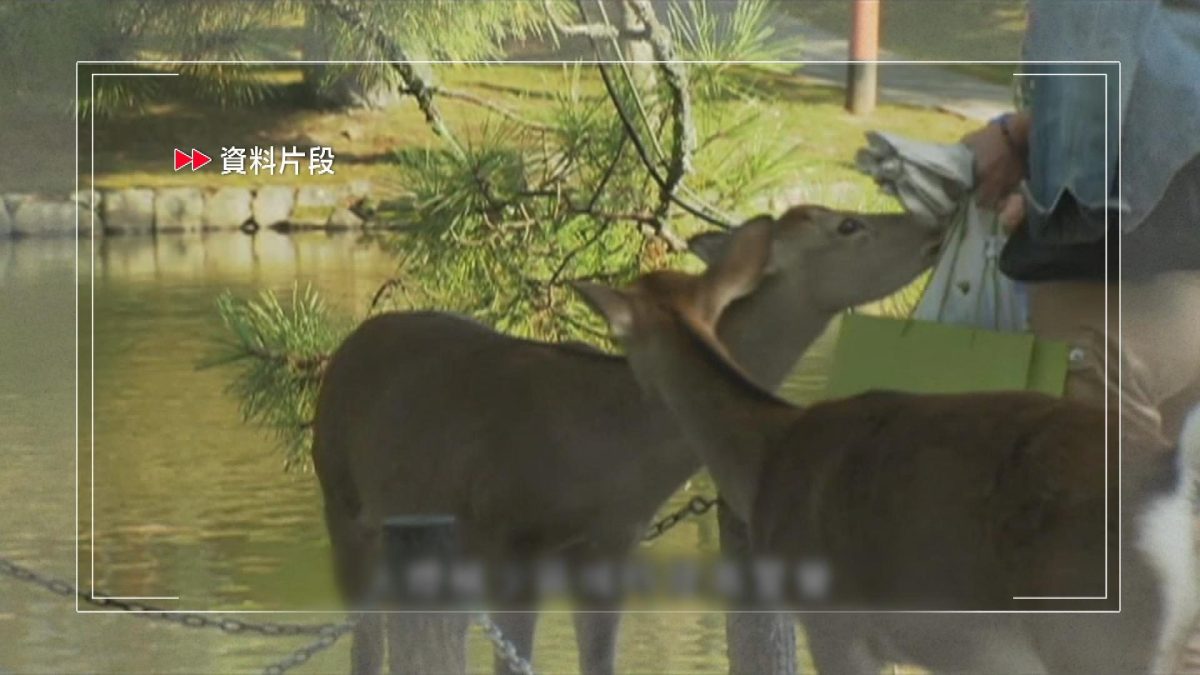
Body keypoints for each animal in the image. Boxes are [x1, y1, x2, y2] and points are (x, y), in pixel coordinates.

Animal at [311, 204, 945, 674]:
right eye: (847, 225)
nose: (936, 228)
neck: (614, 455)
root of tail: (347, 346)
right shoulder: (508, 534)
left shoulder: (615, 541)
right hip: (341, 500)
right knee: (366, 640)